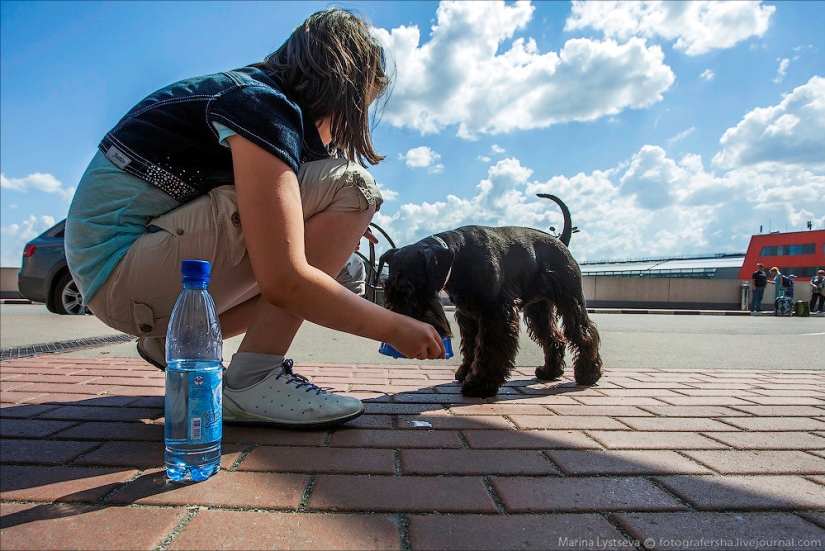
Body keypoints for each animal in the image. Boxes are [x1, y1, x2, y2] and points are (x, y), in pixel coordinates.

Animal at [376, 196, 600, 398]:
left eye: (411, 288)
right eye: (386, 287)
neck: (457, 258)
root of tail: (560, 240)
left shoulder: (496, 312)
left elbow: (490, 349)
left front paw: (479, 384)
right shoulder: (468, 315)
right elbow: (471, 346)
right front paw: (466, 371)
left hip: (569, 299)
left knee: (584, 332)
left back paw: (588, 374)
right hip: (539, 308)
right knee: (554, 337)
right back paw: (550, 371)